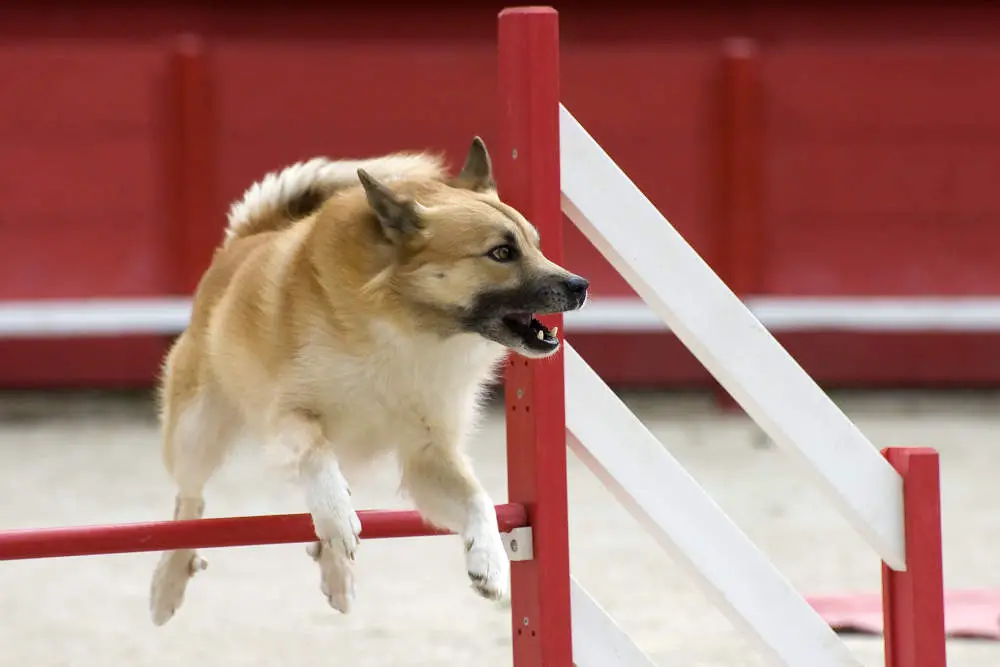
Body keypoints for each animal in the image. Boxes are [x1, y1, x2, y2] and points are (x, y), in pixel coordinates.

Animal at [146, 137, 584, 628]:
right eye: (502, 253)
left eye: (535, 245)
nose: (581, 285)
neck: (407, 327)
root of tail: (243, 242)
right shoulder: (288, 415)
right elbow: (315, 455)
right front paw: (338, 518)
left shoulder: (429, 456)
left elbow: (480, 500)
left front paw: (489, 560)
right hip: (197, 430)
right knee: (189, 504)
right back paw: (170, 581)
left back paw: (336, 572)